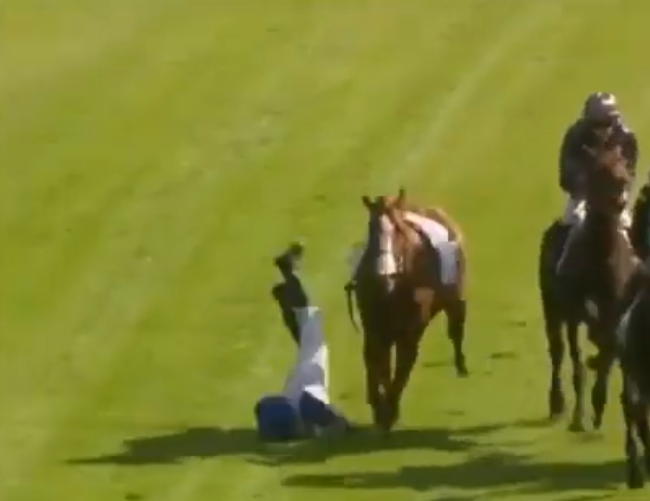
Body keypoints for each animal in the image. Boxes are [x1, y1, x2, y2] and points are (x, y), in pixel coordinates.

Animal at [346, 188, 468, 431]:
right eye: (371, 227)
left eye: (398, 229)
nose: (384, 272)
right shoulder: (375, 325)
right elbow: (378, 360)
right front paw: (380, 407)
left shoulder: (410, 327)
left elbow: (403, 362)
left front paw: (390, 410)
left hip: (455, 298)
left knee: (455, 328)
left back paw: (460, 365)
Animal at [554, 141, 638, 431]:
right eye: (599, 172)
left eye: (623, 172)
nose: (620, 201)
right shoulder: (573, 309)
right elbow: (581, 357)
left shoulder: (616, 310)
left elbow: (608, 347)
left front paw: (599, 403)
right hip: (553, 311)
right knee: (559, 353)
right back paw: (559, 403)